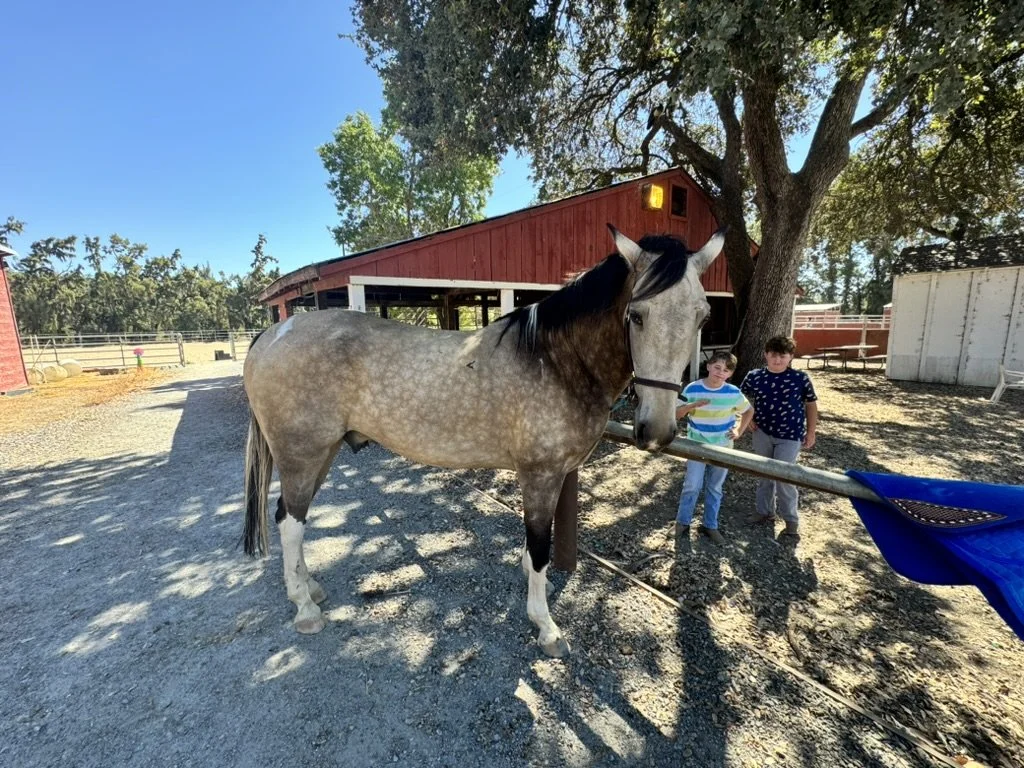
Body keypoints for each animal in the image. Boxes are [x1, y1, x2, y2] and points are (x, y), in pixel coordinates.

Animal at [242, 225, 724, 657]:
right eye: (637, 315)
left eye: (703, 317)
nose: (657, 431)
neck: (555, 359)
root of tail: (273, 334)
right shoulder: (541, 475)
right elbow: (540, 546)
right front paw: (546, 626)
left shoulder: (553, 476)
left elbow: (535, 548)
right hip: (302, 454)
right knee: (290, 523)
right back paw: (305, 608)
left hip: (319, 454)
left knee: (291, 516)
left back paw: (310, 588)